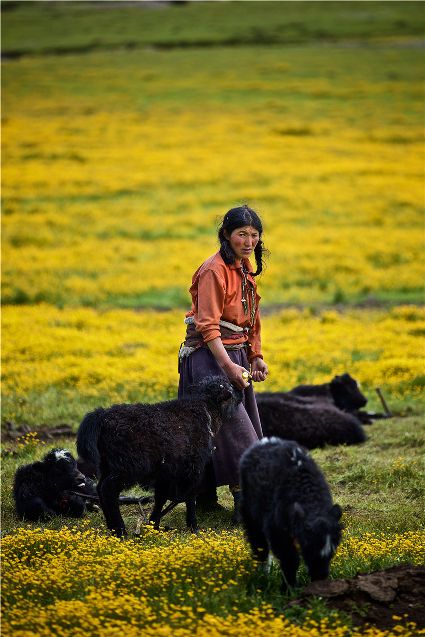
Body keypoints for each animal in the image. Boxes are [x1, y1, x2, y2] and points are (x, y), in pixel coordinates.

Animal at [76, 375, 242, 537]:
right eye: (229, 387)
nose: (241, 392)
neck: (204, 410)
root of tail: (101, 416)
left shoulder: (166, 471)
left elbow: (160, 497)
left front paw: (153, 525)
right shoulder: (194, 468)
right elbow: (190, 497)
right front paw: (193, 527)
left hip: (107, 464)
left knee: (100, 488)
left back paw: (112, 528)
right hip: (127, 466)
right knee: (108, 490)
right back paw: (120, 531)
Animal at [239, 438, 343, 590]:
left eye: (333, 551)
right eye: (309, 548)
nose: (320, 577)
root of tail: (264, 441)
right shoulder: (276, 530)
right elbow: (290, 559)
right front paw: (289, 588)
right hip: (250, 511)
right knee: (259, 543)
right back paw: (263, 573)